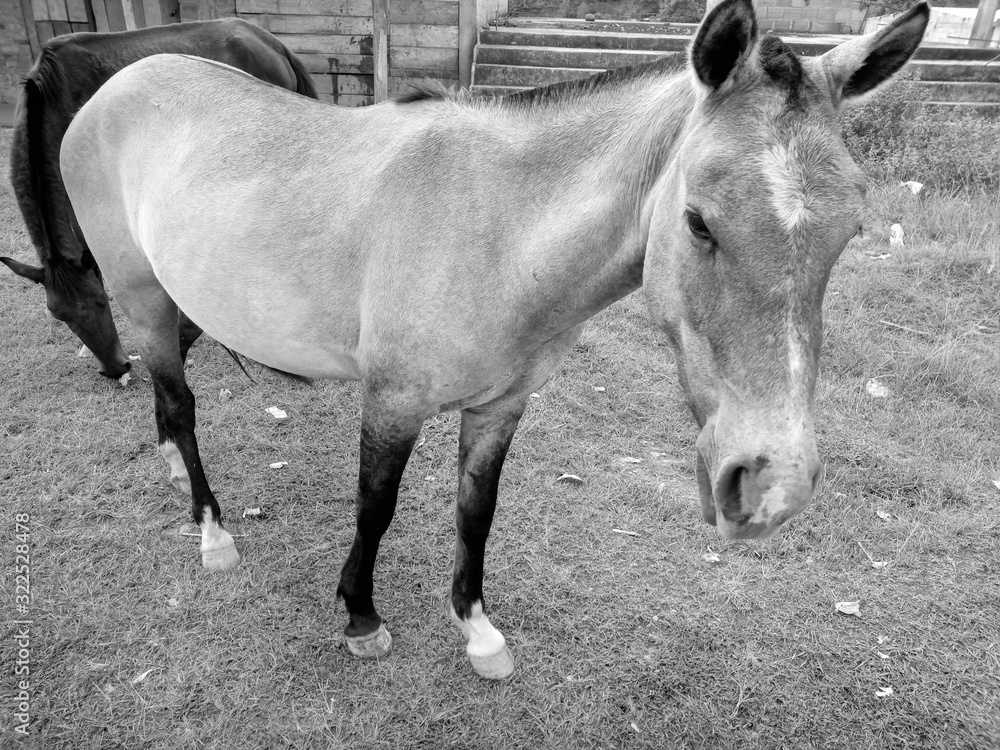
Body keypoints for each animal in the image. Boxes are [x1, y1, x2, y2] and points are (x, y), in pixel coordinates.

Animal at [58, 0, 928, 679]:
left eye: (850, 230)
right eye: (698, 220)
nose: (773, 486)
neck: (499, 233)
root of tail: (118, 85)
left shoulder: (501, 408)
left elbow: (477, 511)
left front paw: (477, 631)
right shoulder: (393, 403)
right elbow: (375, 509)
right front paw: (361, 618)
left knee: (171, 402)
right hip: (143, 299)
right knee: (181, 404)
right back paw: (212, 533)